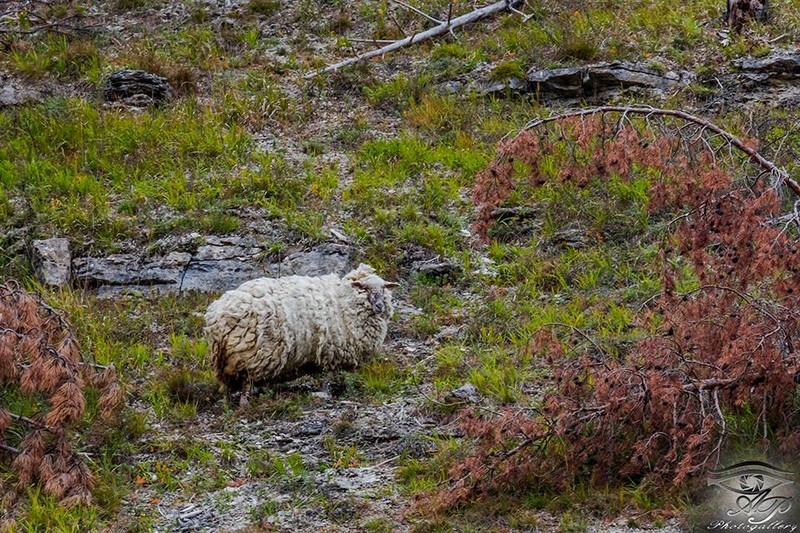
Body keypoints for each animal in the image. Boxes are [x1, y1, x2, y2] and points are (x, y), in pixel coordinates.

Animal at [203, 264, 396, 402]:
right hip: (250, 355)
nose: (380, 306)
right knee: (245, 381)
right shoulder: (331, 353)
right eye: (365, 288)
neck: (344, 302)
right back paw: (245, 403)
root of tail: (216, 316)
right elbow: (329, 377)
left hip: (227, 360)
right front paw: (330, 392)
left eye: (384, 288)